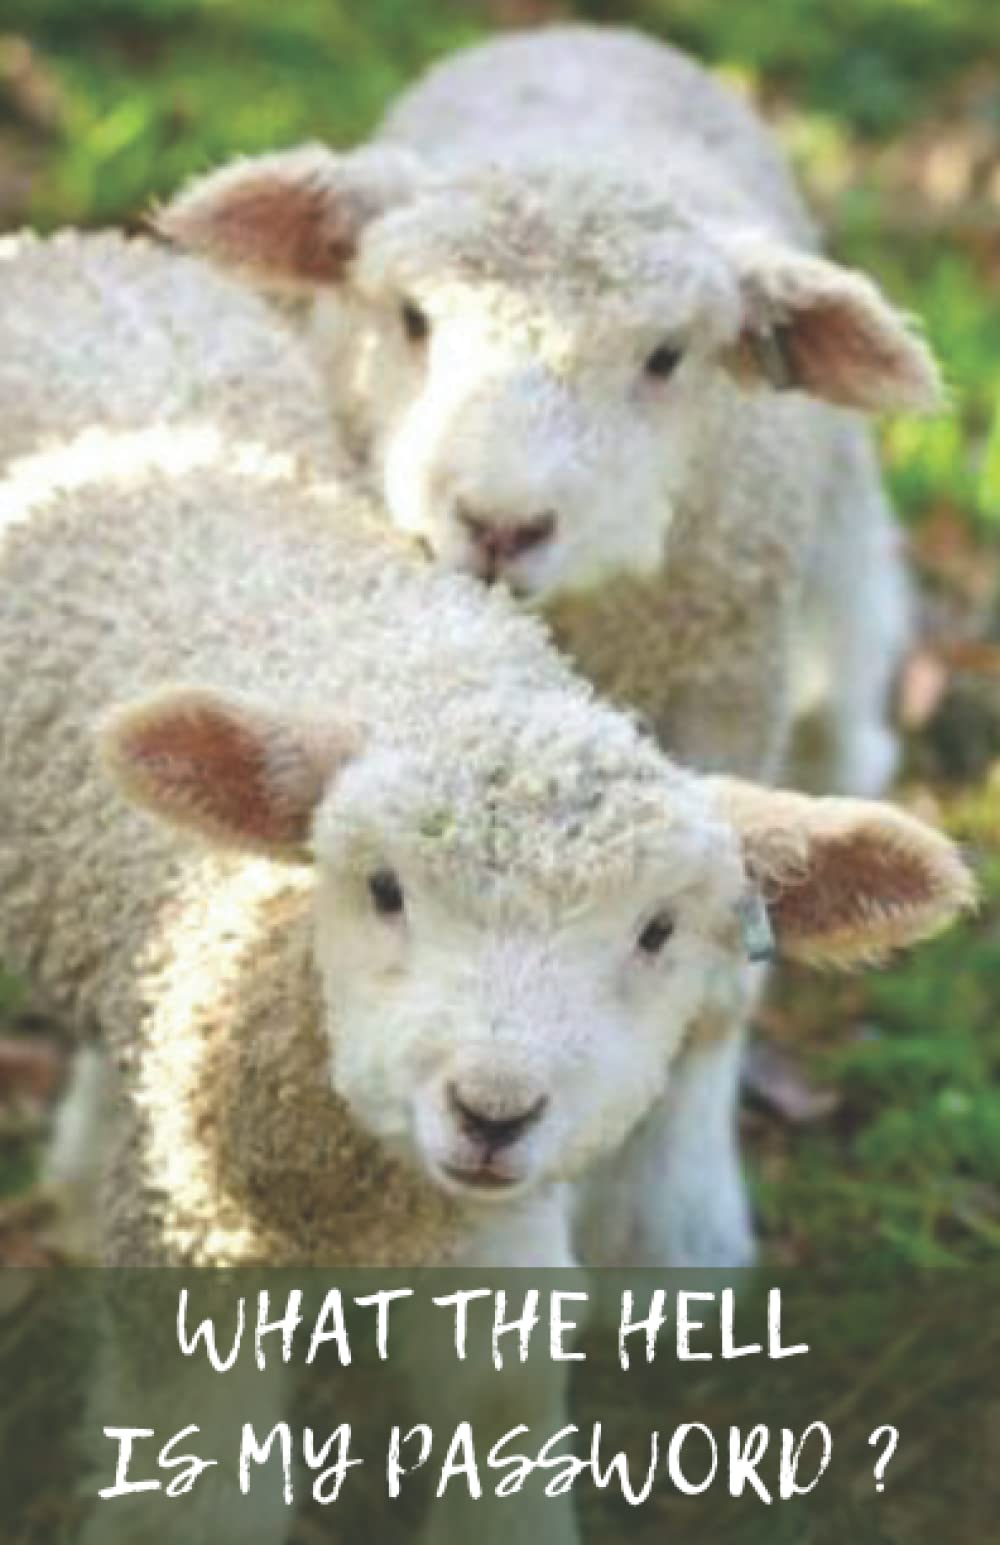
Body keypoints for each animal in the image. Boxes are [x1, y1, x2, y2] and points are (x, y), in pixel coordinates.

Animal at [0, 231, 971, 1543]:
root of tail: (78, 252)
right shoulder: (194, 1256)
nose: (493, 1111)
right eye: (381, 888)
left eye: (658, 932)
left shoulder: (490, 1258)